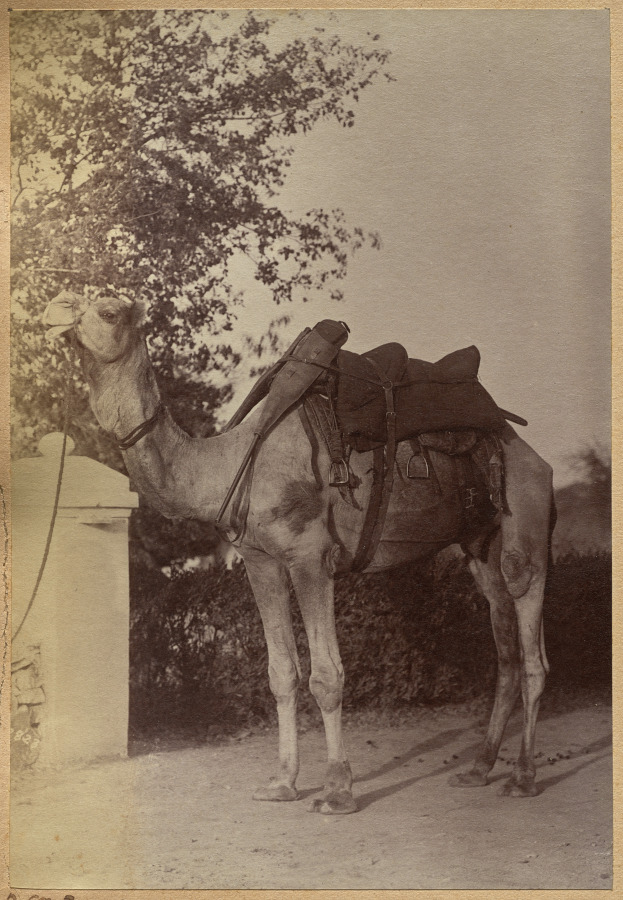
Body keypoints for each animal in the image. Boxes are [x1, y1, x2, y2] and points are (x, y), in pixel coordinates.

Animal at [43, 291, 554, 814]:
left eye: (107, 311)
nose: (52, 310)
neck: (227, 465)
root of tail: (530, 450)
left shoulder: (310, 557)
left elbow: (326, 676)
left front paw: (337, 789)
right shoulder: (260, 561)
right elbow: (281, 673)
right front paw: (282, 782)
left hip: (525, 519)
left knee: (532, 641)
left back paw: (523, 776)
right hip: (479, 544)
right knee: (506, 646)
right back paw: (478, 769)